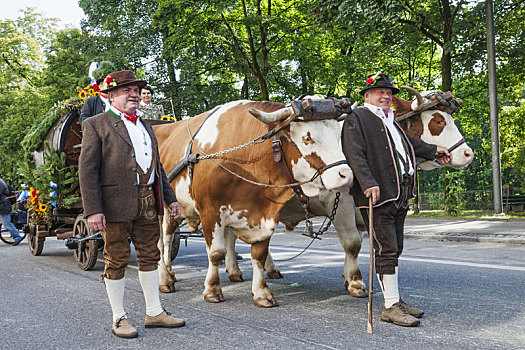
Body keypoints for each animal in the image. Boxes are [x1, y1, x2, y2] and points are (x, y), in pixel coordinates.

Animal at [155, 100, 352, 306]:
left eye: (339, 136)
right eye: (307, 137)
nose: (346, 175)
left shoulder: (263, 213)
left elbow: (259, 254)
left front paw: (261, 293)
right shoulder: (210, 210)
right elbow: (216, 253)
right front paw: (212, 290)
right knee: (162, 243)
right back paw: (165, 279)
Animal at [223, 89, 472, 298]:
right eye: (438, 121)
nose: (468, 153)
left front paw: (348, 276)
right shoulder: (340, 202)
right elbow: (352, 242)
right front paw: (355, 281)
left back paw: (270, 269)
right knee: (230, 236)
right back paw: (234, 270)